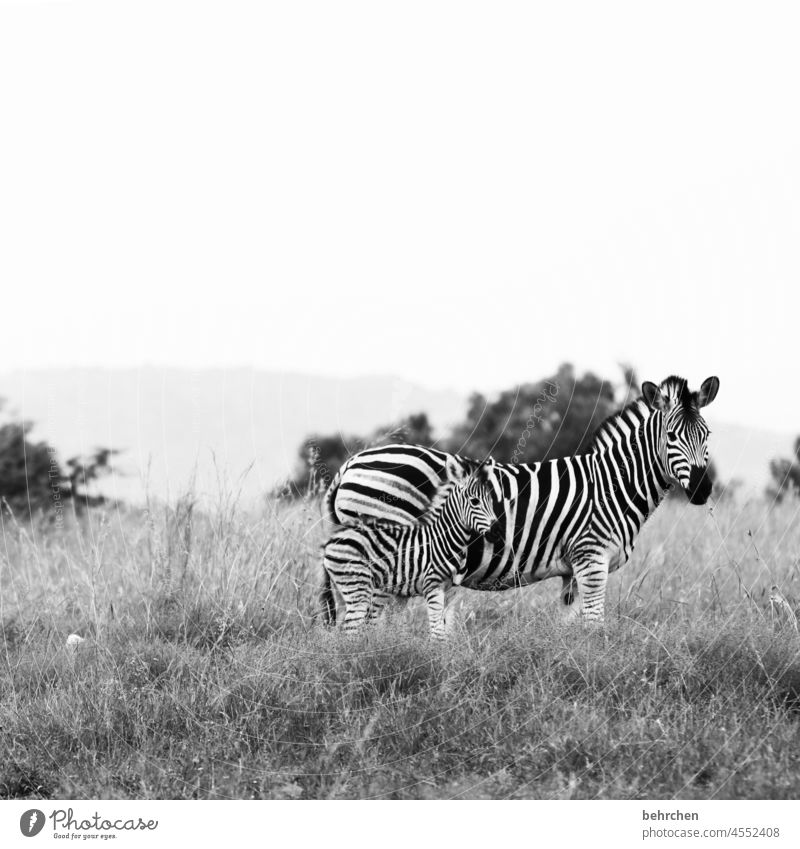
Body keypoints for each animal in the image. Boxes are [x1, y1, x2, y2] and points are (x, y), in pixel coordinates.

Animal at [320, 460, 500, 640]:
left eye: (491, 501)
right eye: (474, 501)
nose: (497, 532)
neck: (443, 540)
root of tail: (333, 539)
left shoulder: (450, 589)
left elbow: (444, 628)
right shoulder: (432, 586)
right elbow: (438, 634)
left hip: (343, 589)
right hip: (358, 587)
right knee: (350, 630)